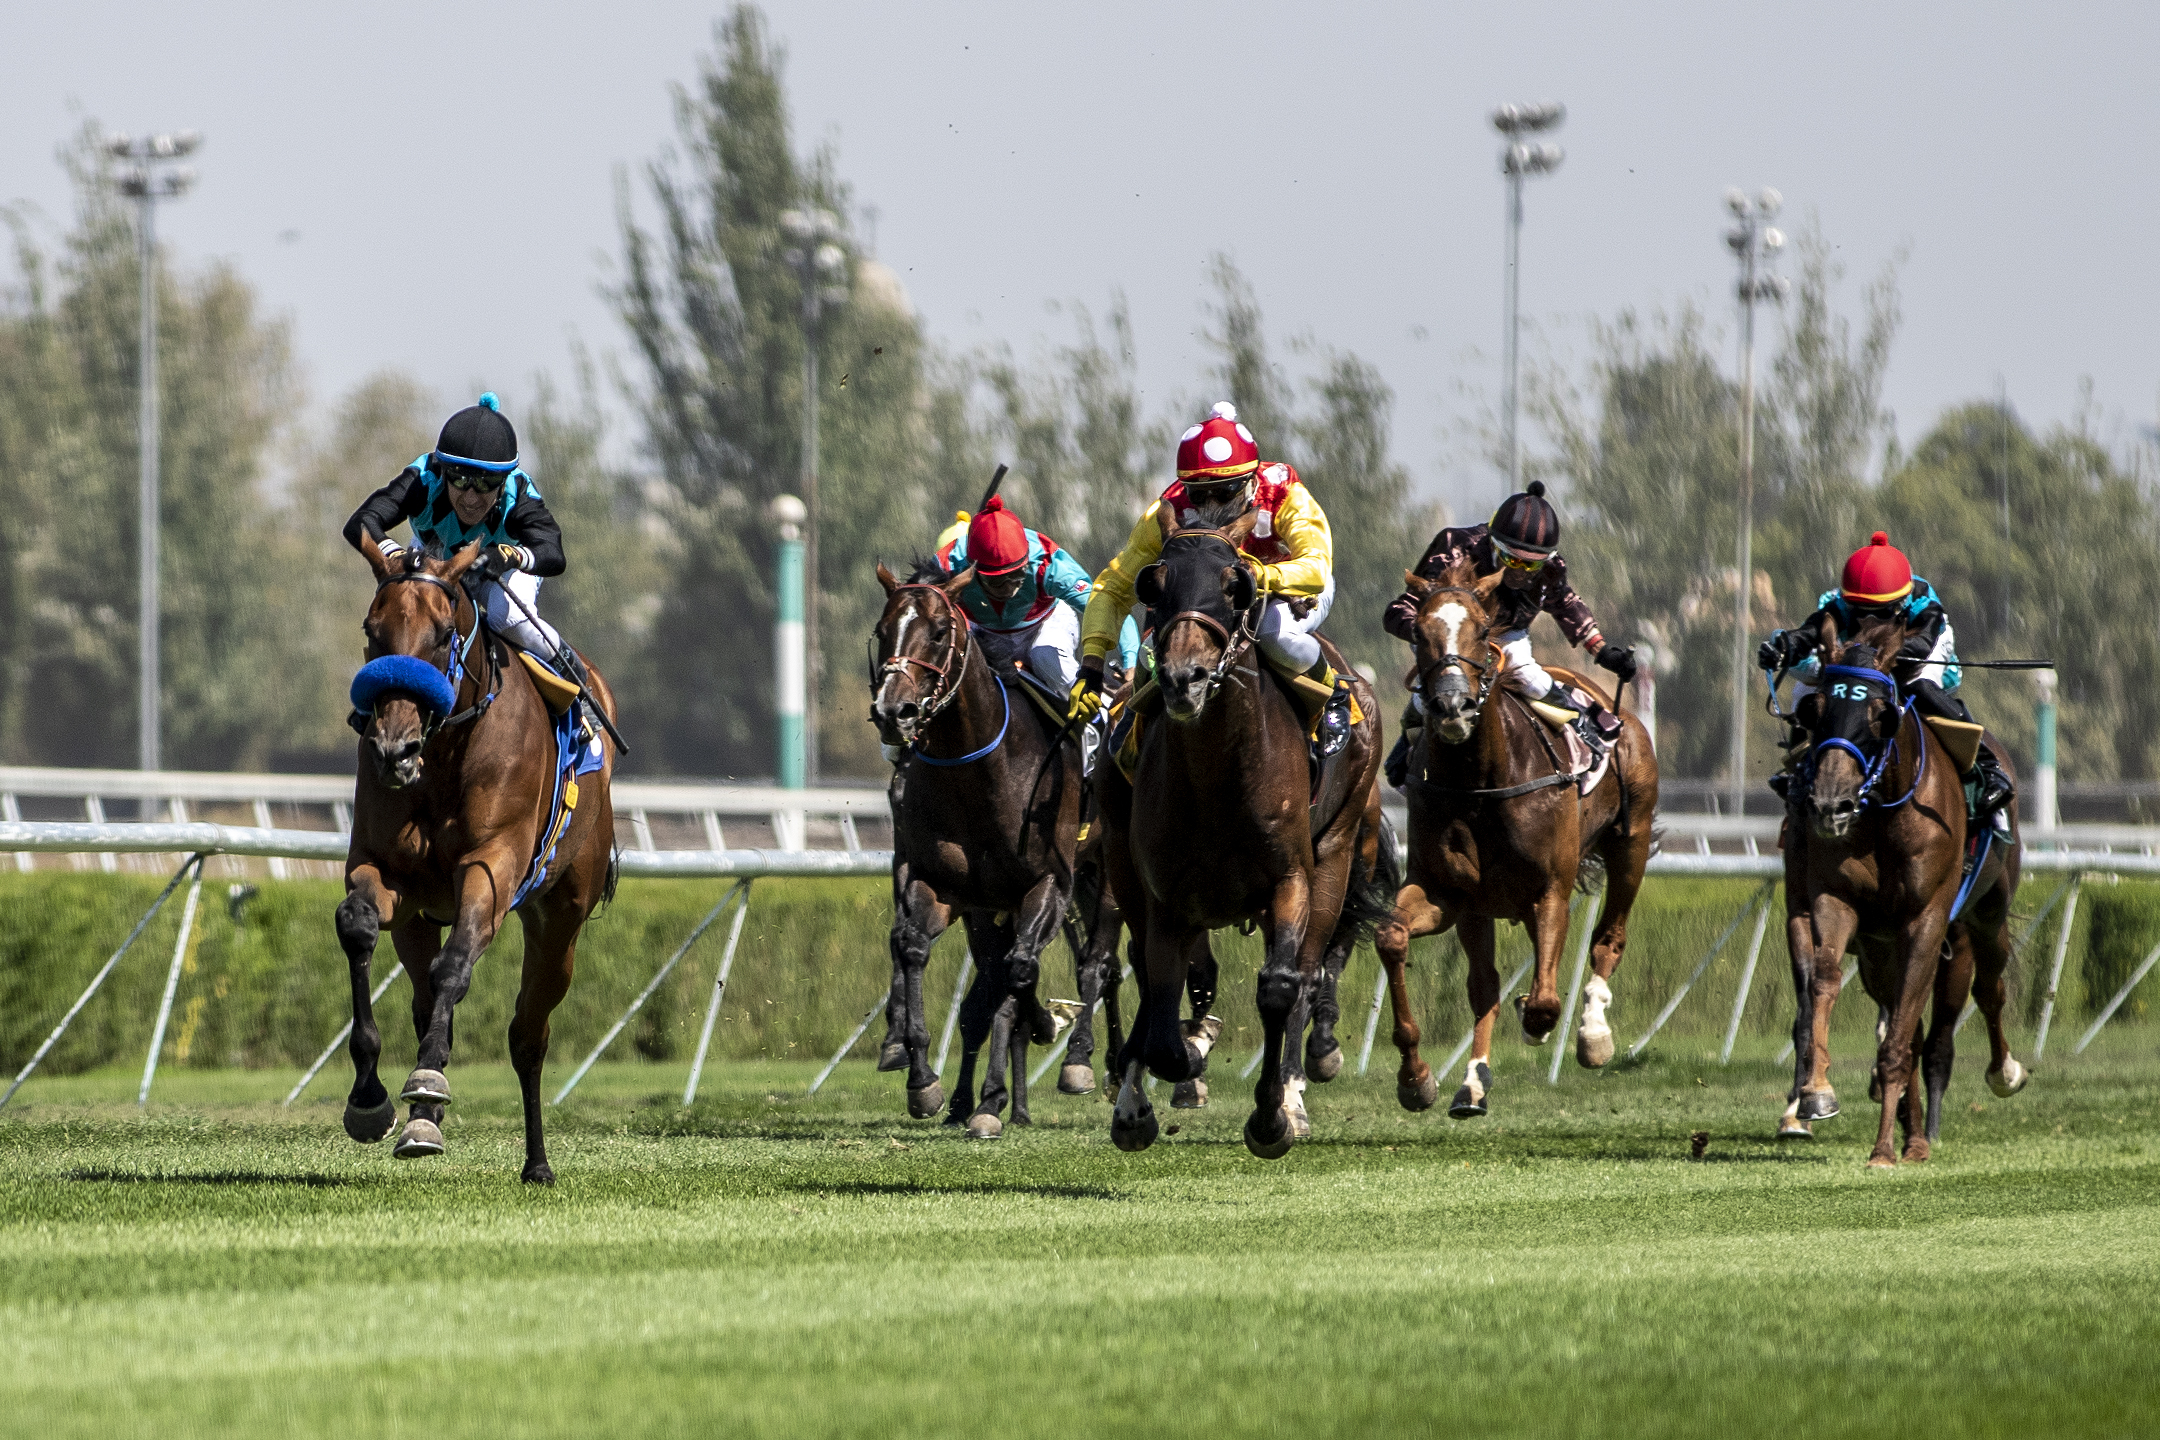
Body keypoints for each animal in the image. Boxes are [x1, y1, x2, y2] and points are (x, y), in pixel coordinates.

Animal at [336, 537, 619, 1184]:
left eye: (444, 633)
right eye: (371, 630)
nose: (393, 751)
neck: (443, 755)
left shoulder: (492, 868)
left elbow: (456, 967)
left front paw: (426, 1086)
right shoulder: (386, 872)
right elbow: (358, 926)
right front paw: (371, 1099)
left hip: (560, 920)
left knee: (528, 1034)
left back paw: (536, 1162)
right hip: (418, 922)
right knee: (423, 1001)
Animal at [868, 560, 1113, 1136]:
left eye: (939, 632)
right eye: (882, 631)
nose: (894, 711)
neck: (978, 773)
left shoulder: (1048, 882)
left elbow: (1018, 974)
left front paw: (1040, 1035)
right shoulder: (945, 886)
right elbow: (913, 947)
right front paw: (922, 1080)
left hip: (1110, 874)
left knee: (1096, 963)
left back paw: (1076, 1062)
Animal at [1096, 512, 1394, 1159]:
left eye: (1236, 586)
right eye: (1154, 584)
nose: (1184, 679)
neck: (1219, 780)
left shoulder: (1291, 876)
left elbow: (1281, 986)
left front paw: (1270, 1116)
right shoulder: (1165, 895)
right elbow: (1161, 1009)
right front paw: (1166, 1073)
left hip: (1337, 854)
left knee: (1306, 973)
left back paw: (1293, 1095)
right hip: (1122, 865)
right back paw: (1135, 1099)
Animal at [1374, 563, 1658, 1121]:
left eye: (1483, 629)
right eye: (1419, 631)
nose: (1453, 706)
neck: (1480, 780)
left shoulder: (1550, 890)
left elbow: (1547, 999)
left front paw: (1546, 1023)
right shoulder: (1448, 894)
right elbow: (1393, 937)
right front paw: (1416, 1078)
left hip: (1629, 842)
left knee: (1609, 938)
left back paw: (1592, 1035)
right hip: (1485, 906)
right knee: (1484, 986)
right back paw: (1472, 1085)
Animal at [1776, 613, 2030, 1165]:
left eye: (1880, 714)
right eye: (1815, 710)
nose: (1830, 804)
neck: (1885, 813)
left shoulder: (1926, 919)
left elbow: (1902, 1042)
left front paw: (1884, 1151)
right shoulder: (1834, 902)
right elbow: (1823, 983)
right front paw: (1816, 1094)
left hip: (1984, 916)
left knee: (1987, 990)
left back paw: (1998, 1077)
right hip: (1881, 953)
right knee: (1908, 1026)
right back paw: (1913, 1133)